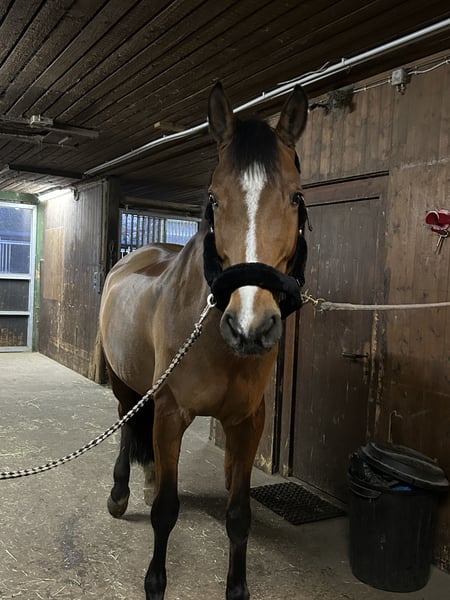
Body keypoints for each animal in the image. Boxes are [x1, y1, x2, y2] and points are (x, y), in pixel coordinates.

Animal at [99, 82, 309, 600]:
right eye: (213, 198)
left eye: (296, 197)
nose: (250, 326)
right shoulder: (171, 412)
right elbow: (165, 512)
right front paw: (155, 585)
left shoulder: (248, 423)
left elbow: (239, 515)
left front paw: (238, 590)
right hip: (124, 385)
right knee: (126, 425)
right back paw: (121, 495)